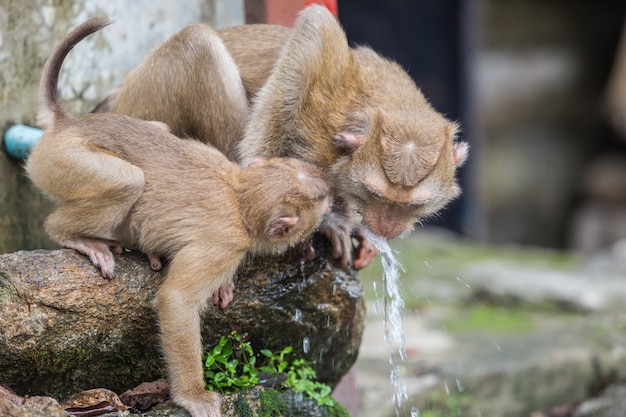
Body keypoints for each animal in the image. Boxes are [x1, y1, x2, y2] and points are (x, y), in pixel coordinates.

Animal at [26, 18, 330, 416]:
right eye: (320, 205)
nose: (330, 193)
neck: (240, 194)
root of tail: (68, 123)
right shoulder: (226, 244)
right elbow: (177, 302)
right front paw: (193, 395)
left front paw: (223, 285)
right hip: (59, 160)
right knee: (127, 181)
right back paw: (77, 236)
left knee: (161, 132)